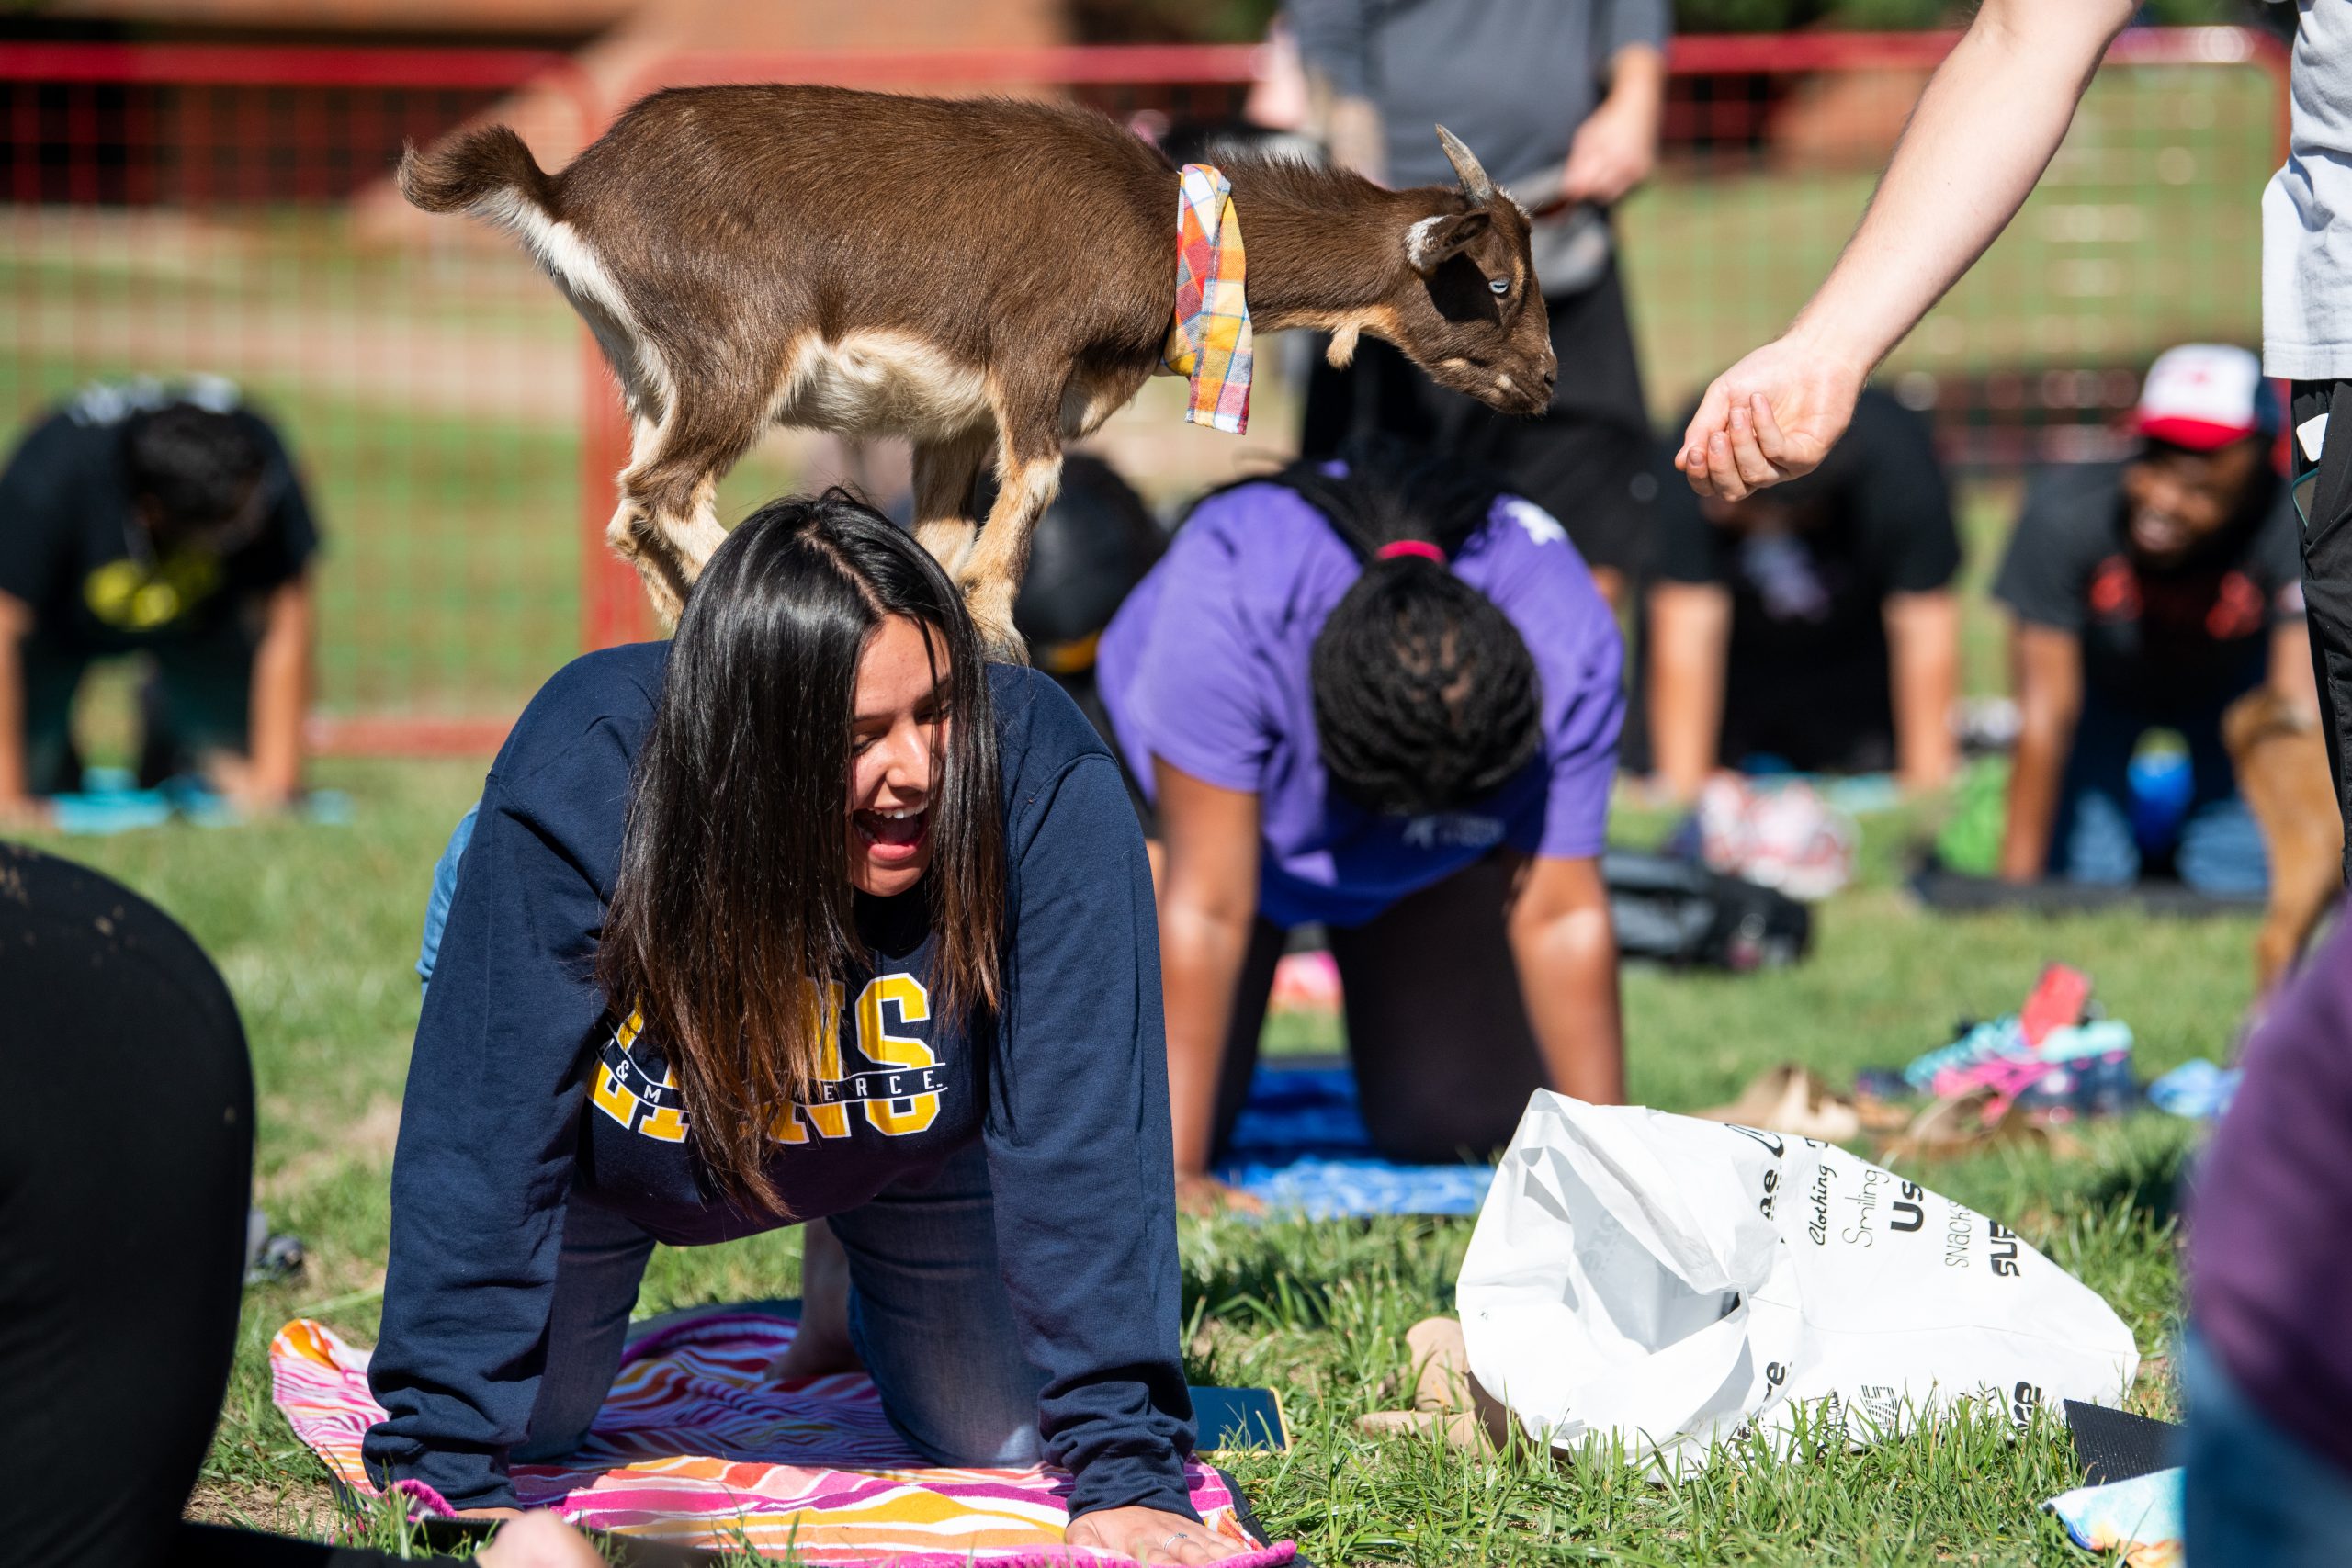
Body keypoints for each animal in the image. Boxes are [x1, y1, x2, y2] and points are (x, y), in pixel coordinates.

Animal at [395, 85, 1552, 658]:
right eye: (1493, 281)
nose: (1543, 384)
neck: (1168, 224)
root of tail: (566, 189)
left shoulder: (951, 416)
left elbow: (947, 529)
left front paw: (953, 604)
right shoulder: (1033, 352)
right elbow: (1034, 481)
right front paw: (995, 626)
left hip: (645, 368)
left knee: (627, 511)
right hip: (738, 348)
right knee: (662, 491)